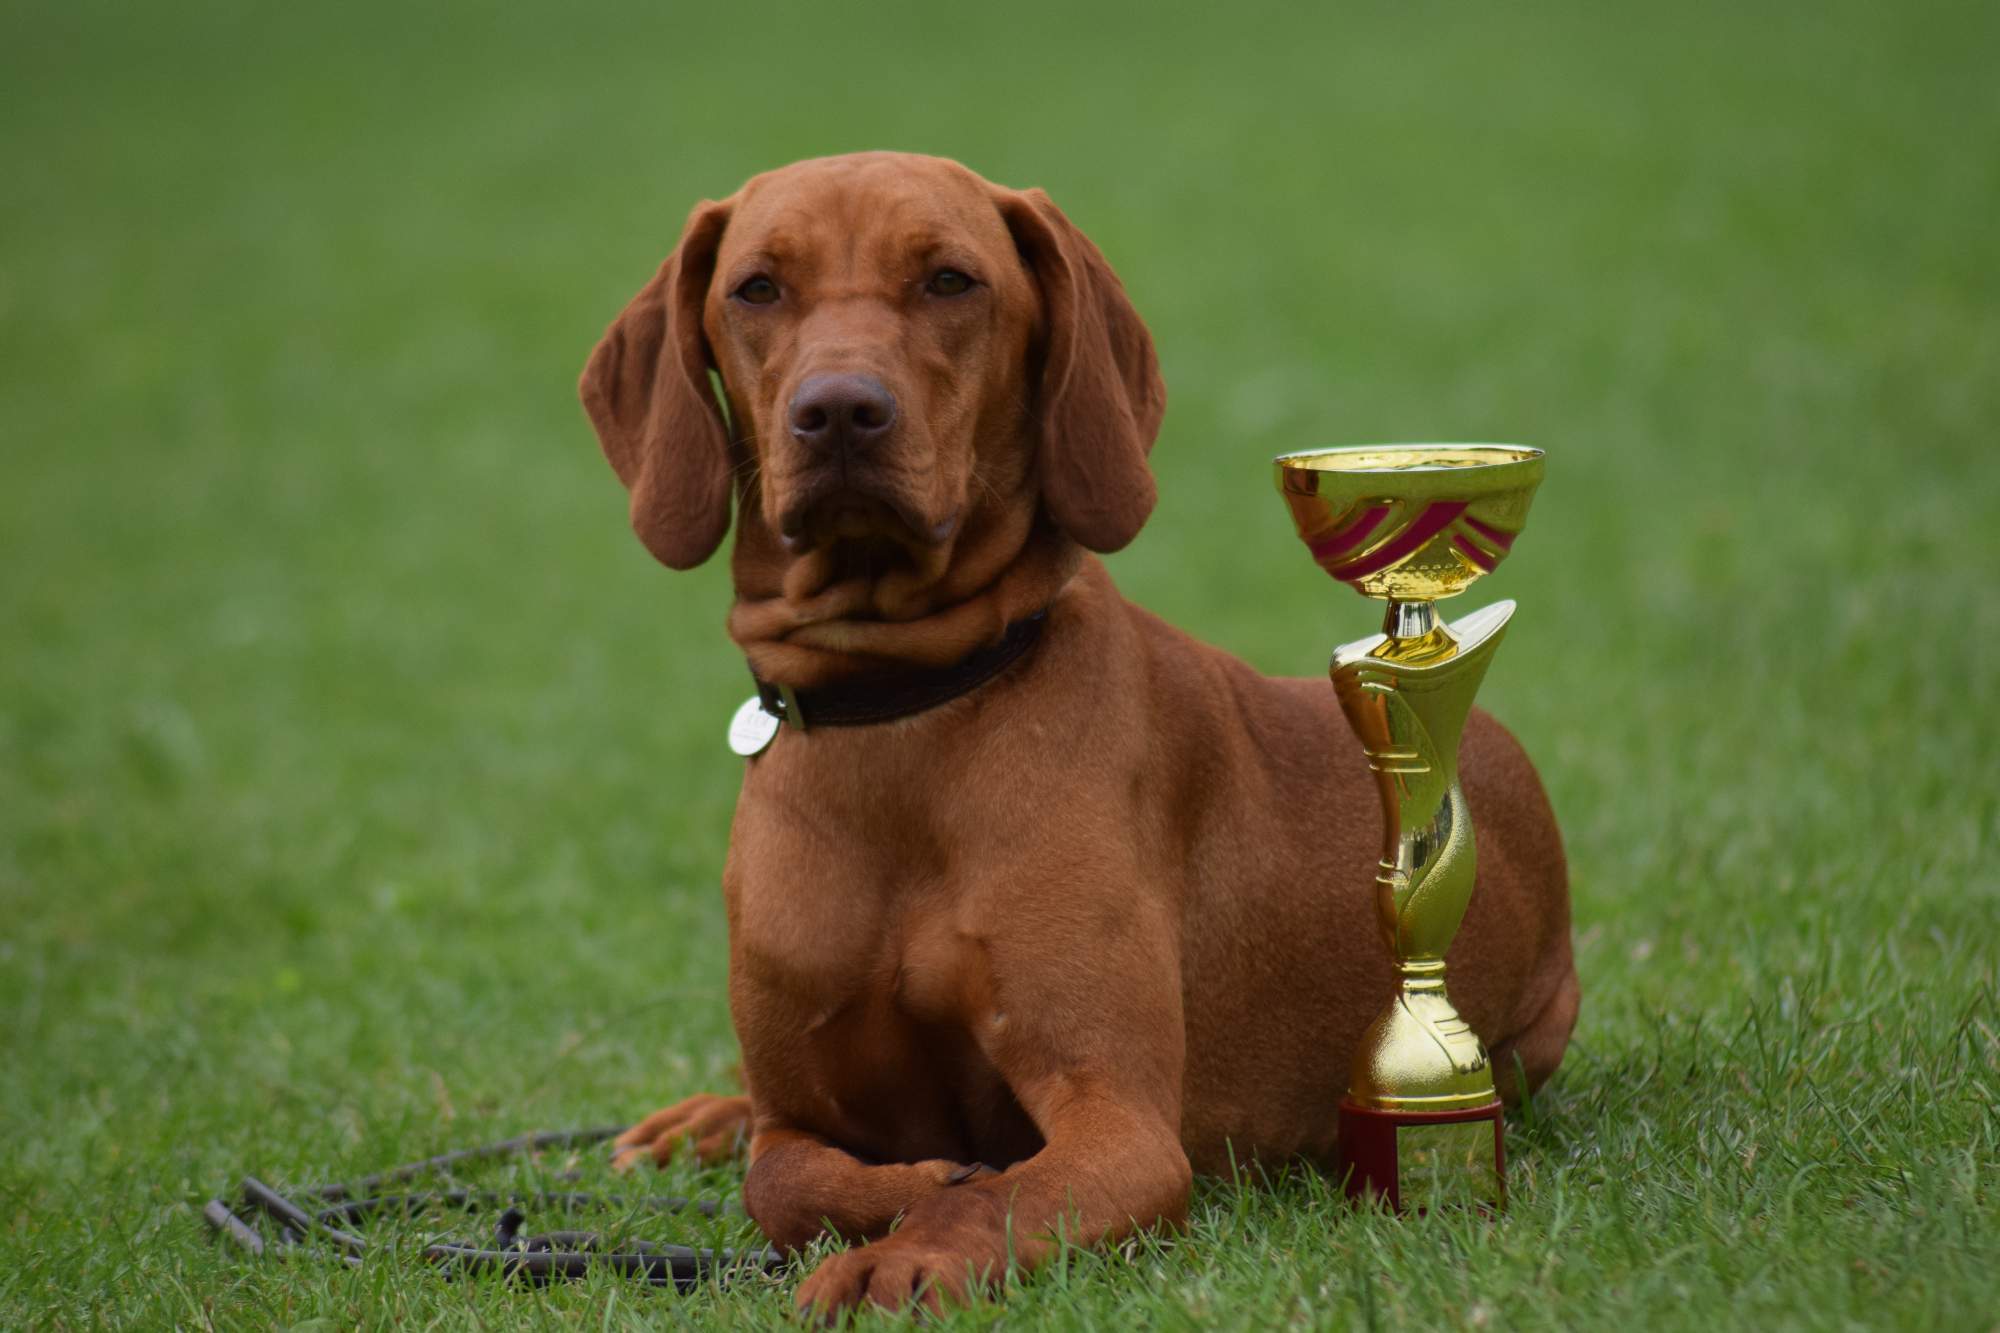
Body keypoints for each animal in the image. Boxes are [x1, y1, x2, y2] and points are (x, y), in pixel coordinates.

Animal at [581, 151, 1578, 1318]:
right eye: (756, 289)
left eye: (951, 280)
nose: (838, 412)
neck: (906, 714)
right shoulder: (800, 1109)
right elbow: (779, 1176)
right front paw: (903, 1182)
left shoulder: (1122, 1120)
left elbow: (1000, 1193)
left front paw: (904, 1251)